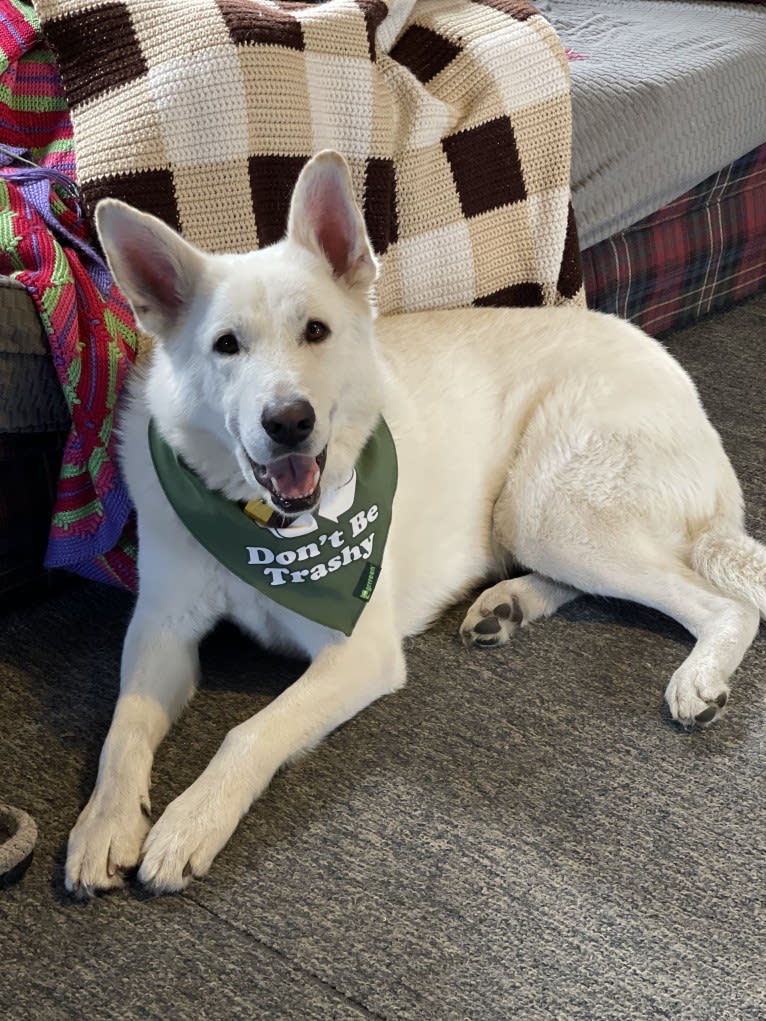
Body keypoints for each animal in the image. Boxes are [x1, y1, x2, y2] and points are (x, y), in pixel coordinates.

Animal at [64, 149, 763, 894]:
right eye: (226, 345)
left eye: (315, 331)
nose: (289, 422)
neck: (266, 524)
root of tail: (682, 385)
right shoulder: (161, 627)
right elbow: (123, 729)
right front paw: (104, 823)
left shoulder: (358, 651)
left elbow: (247, 732)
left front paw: (190, 821)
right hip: (535, 517)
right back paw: (507, 605)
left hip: (545, 506)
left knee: (722, 603)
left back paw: (696, 675)